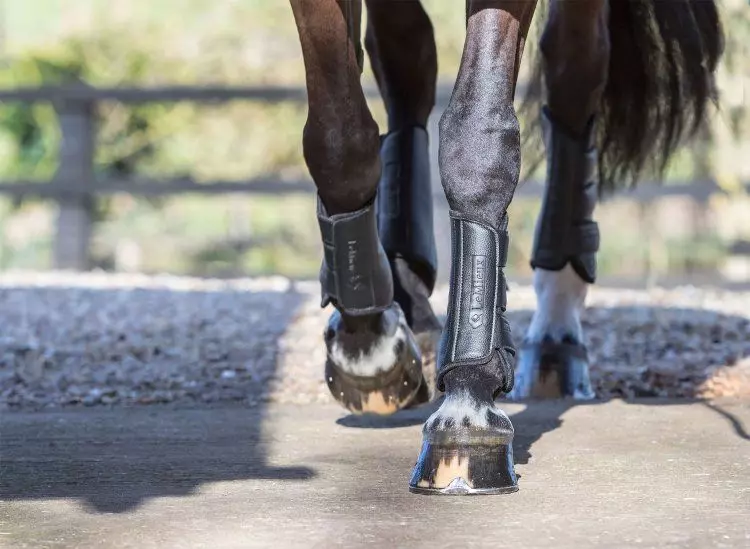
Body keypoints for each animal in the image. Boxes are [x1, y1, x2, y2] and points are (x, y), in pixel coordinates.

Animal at [288, 0, 724, 494]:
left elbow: (477, 136)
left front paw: (467, 406)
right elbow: (338, 140)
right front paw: (368, 344)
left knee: (574, 69)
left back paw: (556, 331)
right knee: (405, 62)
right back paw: (409, 298)